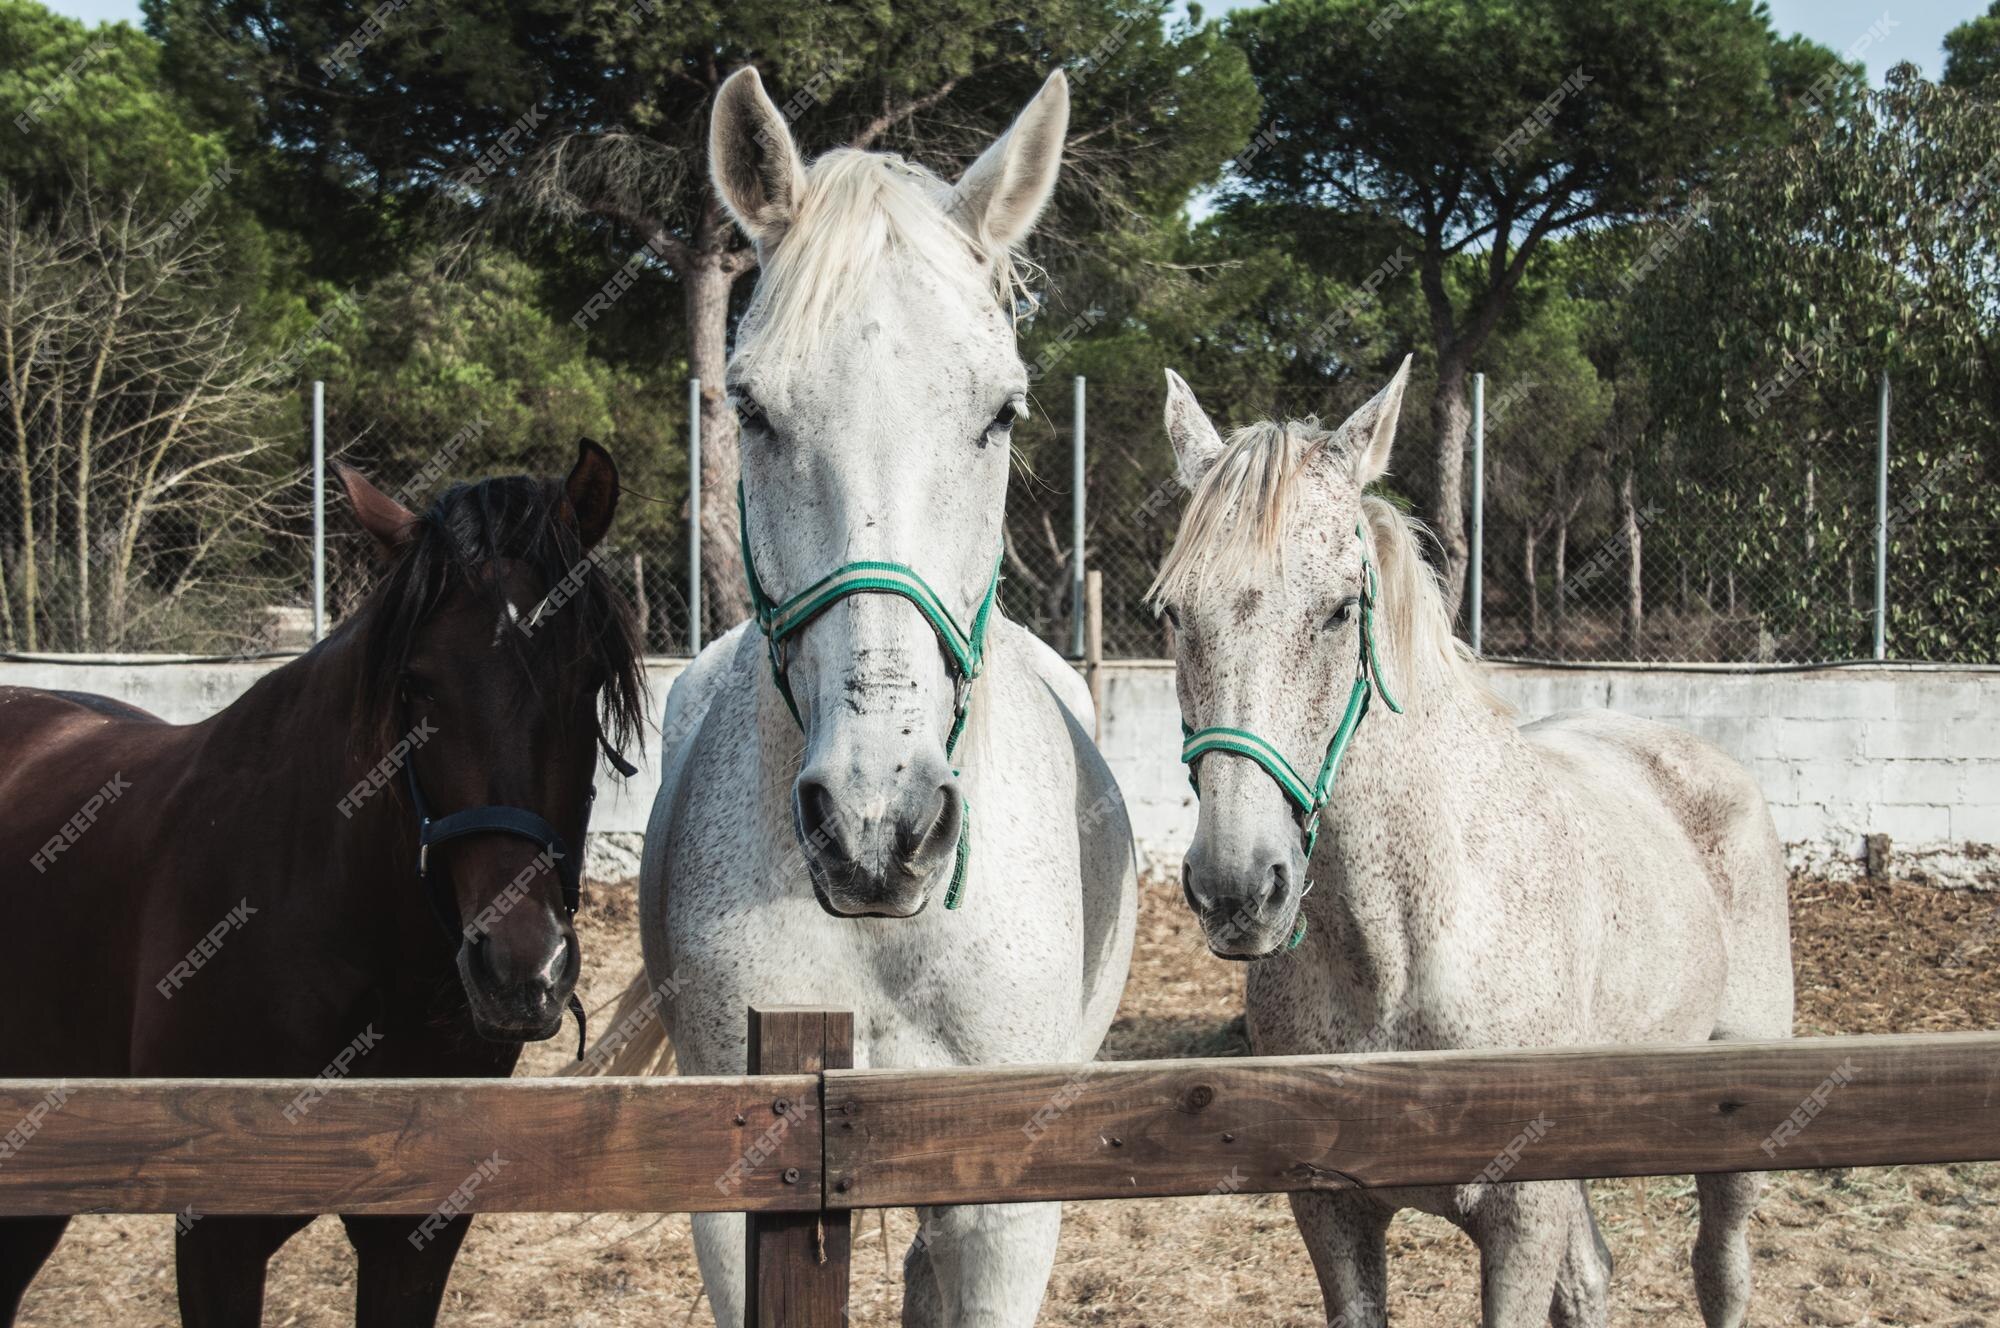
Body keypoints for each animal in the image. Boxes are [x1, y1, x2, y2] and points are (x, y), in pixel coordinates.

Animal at [1152, 364, 1792, 1328]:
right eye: (1173, 614)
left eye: (1340, 610)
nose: (1236, 888)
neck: (1404, 944)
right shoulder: (1332, 1213)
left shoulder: (1521, 1213)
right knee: (1592, 1276)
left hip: (1735, 1130)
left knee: (1720, 1267)